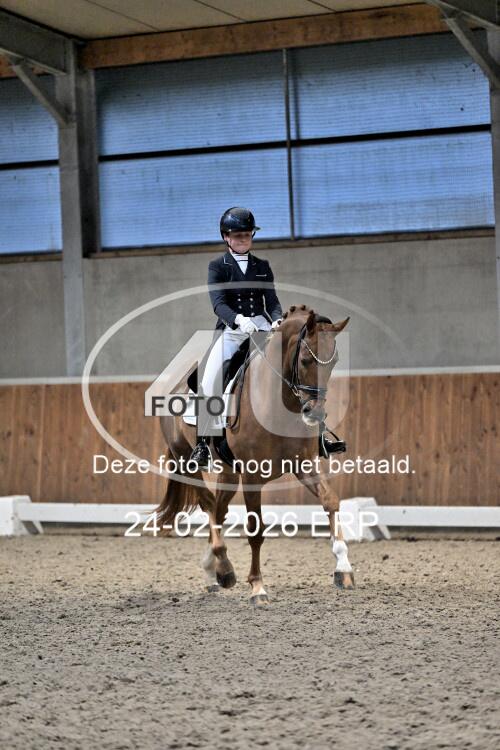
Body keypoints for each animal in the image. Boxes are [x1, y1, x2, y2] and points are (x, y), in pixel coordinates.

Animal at [156, 304, 353, 606]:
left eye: (334, 363)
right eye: (305, 360)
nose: (315, 414)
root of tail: (176, 386)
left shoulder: (305, 465)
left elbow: (330, 501)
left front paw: (343, 568)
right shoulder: (252, 477)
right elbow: (256, 529)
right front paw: (258, 588)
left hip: (228, 471)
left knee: (219, 508)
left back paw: (214, 569)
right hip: (188, 462)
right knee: (208, 504)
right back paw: (224, 568)